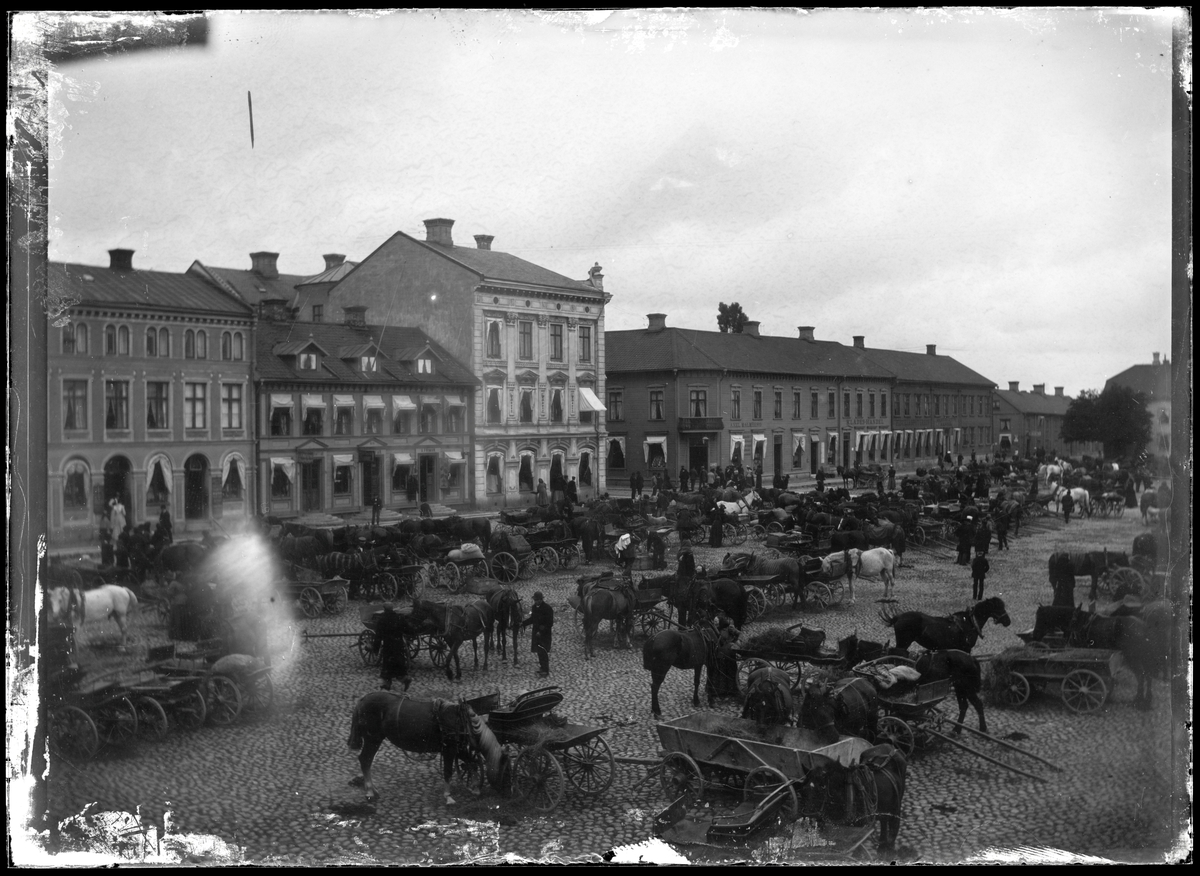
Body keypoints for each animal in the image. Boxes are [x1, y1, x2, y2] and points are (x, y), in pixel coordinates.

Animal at [347, 692, 509, 805]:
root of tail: (362, 700)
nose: (507, 792)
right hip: (372, 739)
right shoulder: (449, 750)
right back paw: (369, 791)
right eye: (505, 769)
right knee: (365, 760)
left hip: (375, 739)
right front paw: (448, 797)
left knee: (366, 760)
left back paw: (373, 789)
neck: (461, 721)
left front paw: (474, 788)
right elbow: (448, 771)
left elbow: (472, 764)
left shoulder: (460, 750)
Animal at [879, 597, 1011, 653]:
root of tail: (898, 617)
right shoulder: (966, 649)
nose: (1008, 621)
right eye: (998, 607)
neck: (969, 622)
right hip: (903, 643)